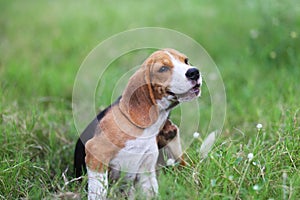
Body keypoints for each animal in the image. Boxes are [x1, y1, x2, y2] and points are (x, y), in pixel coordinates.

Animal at [74, 48, 203, 198]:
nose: (194, 72)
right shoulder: (96, 152)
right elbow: (99, 191)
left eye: (186, 61)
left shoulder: (146, 168)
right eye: (163, 68)